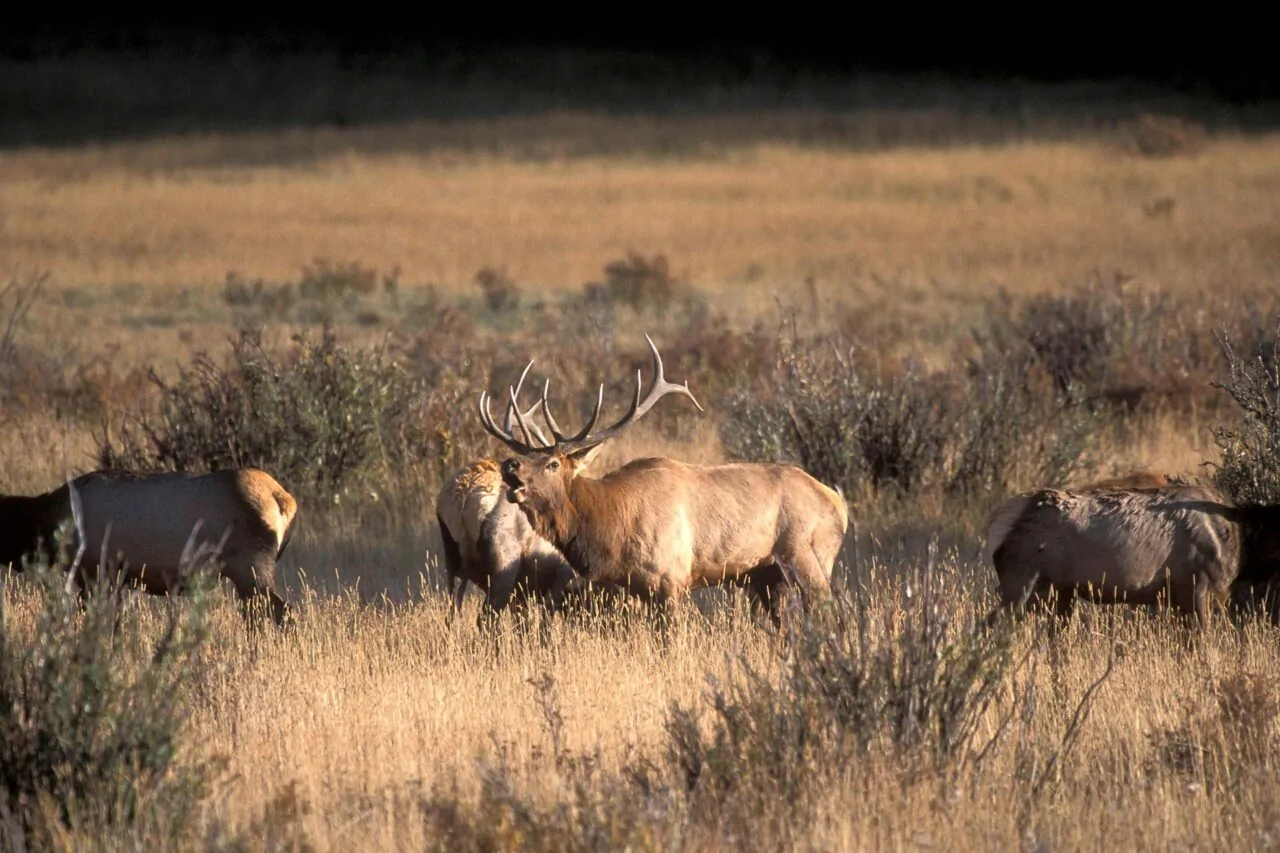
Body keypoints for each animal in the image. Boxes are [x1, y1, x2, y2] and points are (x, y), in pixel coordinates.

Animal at [477, 334, 849, 631]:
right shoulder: (639, 589)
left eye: (553, 463)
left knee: (826, 611)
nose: (510, 464)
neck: (612, 527)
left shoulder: (672, 580)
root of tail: (839, 503)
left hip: (809, 552)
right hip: (767, 576)